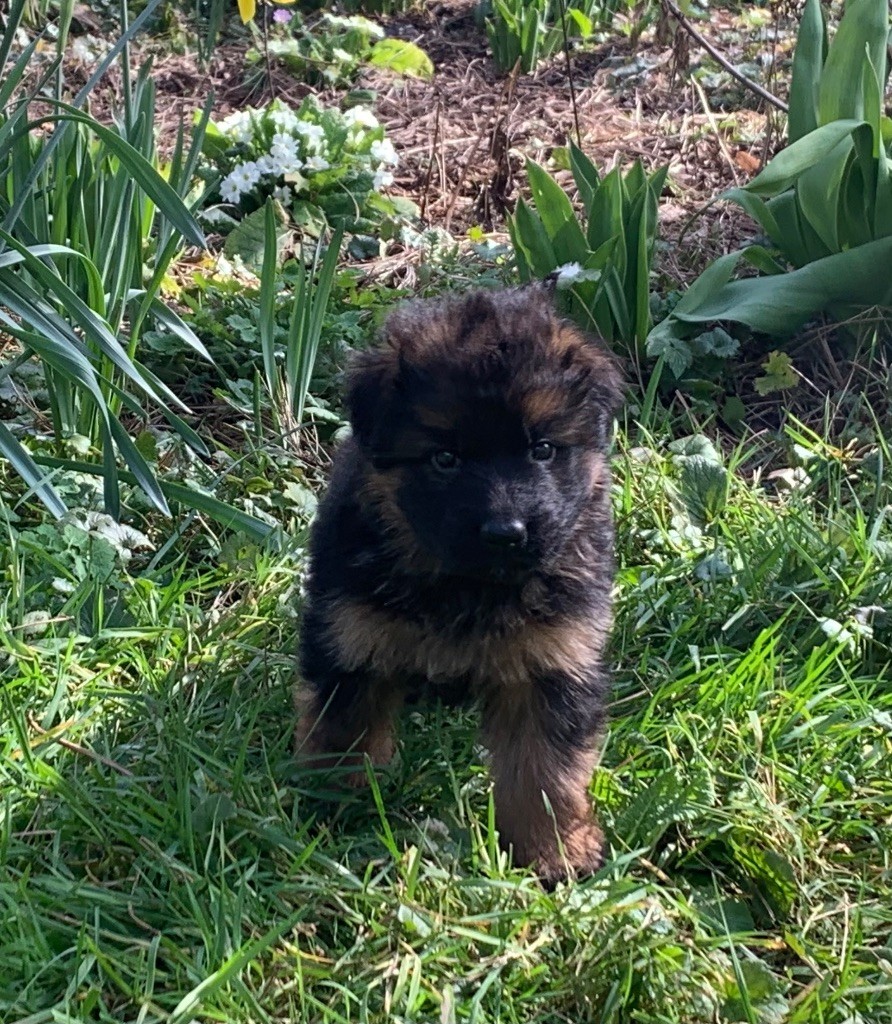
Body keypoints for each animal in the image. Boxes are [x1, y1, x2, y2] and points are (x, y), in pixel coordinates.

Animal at [296, 284, 622, 884]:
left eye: (542, 449)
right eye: (444, 459)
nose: (506, 532)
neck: (469, 588)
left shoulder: (553, 660)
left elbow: (545, 771)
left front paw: (554, 850)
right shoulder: (353, 636)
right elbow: (345, 731)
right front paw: (336, 806)